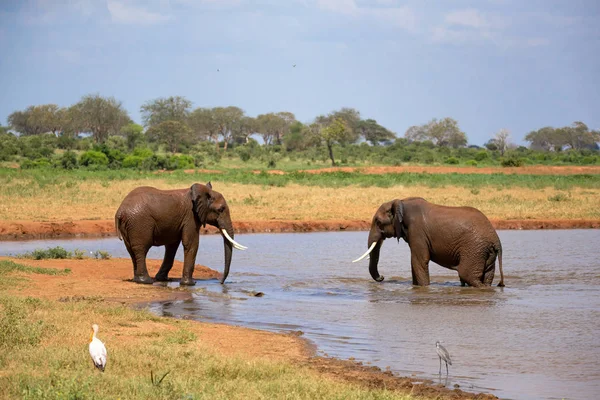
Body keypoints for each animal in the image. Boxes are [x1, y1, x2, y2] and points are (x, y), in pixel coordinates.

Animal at [115, 181, 246, 284]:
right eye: (221, 209)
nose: (221, 282)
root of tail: (120, 211)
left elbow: (172, 246)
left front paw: (163, 279)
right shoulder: (190, 217)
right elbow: (192, 244)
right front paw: (190, 283)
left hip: (130, 225)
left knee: (131, 250)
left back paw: (137, 279)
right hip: (139, 223)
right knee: (141, 249)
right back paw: (146, 281)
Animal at [354, 197, 504, 288]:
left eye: (378, 222)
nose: (382, 277)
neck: (400, 202)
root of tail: (496, 240)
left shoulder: (417, 231)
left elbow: (419, 260)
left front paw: (424, 288)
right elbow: (416, 262)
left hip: (474, 249)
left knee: (467, 275)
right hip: (485, 252)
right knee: (486, 277)